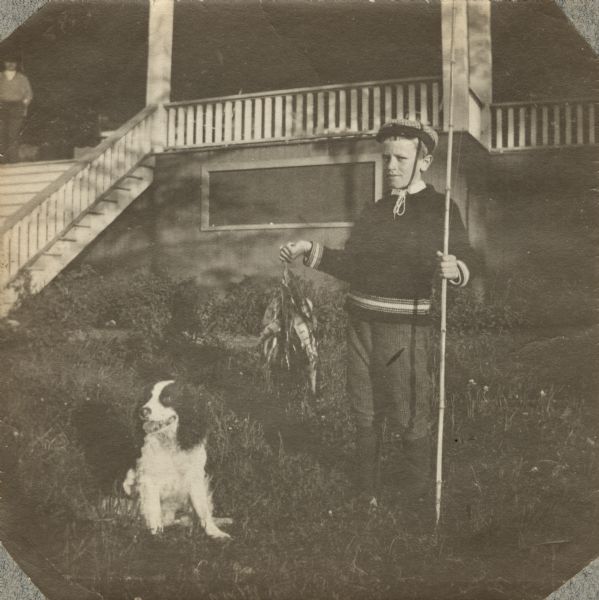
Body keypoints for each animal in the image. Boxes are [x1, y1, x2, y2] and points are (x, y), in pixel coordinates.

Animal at [123, 380, 232, 540]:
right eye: (147, 398)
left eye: (167, 398)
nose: (143, 411)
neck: (169, 444)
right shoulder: (148, 480)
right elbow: (154, 511)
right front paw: (156, 535)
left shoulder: (195, 478)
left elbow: (203, 509)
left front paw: (215, 532)